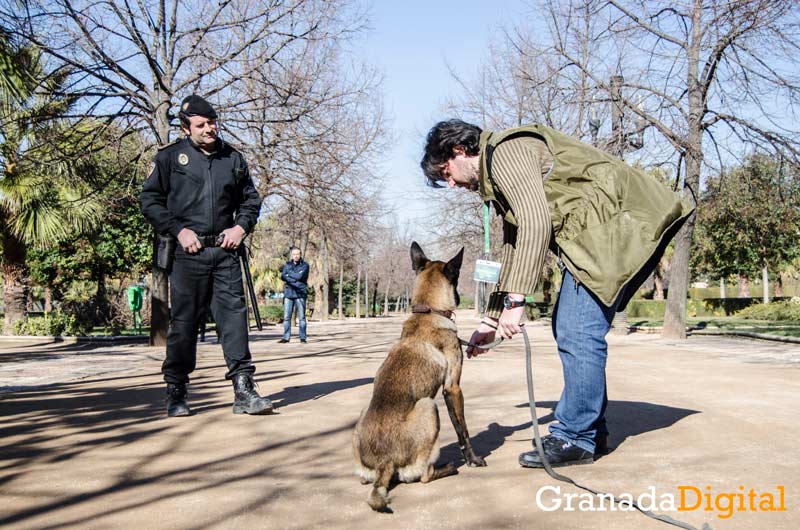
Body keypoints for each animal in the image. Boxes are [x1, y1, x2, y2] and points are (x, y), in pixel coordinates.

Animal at [352, 241, 488, 510]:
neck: (427, 312)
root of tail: (385, 464)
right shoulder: (452, 388)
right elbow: (463, 430)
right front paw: (473, 459)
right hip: (429, 405)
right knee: (424, 475)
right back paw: (448, 468)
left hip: (362, 417)